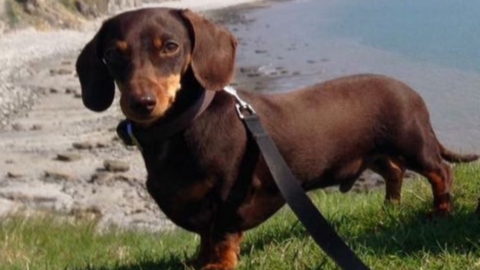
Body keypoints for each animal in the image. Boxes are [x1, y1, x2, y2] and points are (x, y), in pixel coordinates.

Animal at [77, 8, 478, 270]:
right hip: (378, 154)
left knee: (441, 171)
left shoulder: (230, 196)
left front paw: (217, 265)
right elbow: (205, 236)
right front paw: (199, 260)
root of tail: (410, 90)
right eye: (112, 54)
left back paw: (440, 211)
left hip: (414, 145)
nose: (141, 103)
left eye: (171, 46)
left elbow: (221, 235)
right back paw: (389, 207)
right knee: (395, 172)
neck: (184, 126)